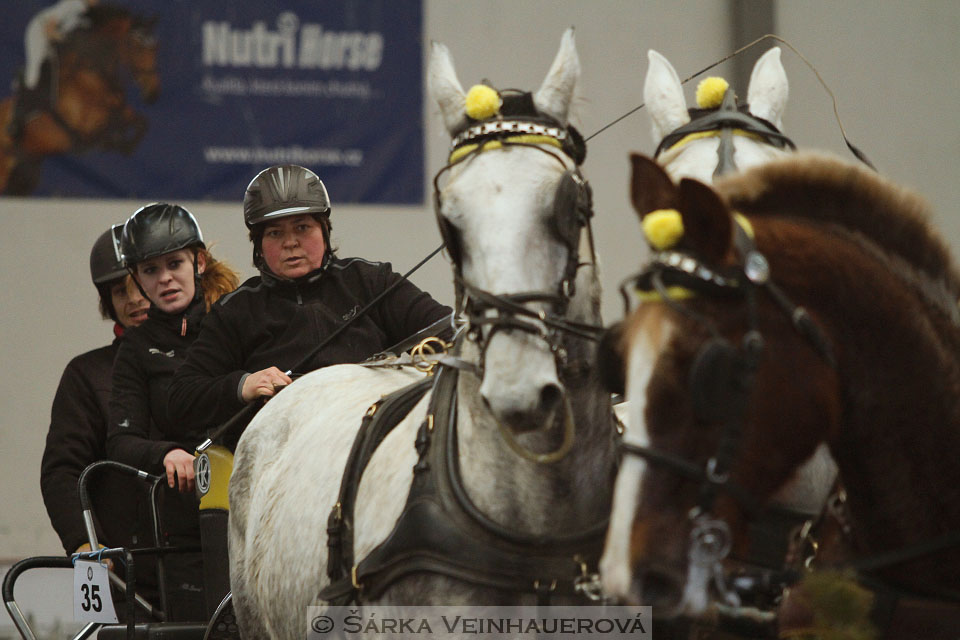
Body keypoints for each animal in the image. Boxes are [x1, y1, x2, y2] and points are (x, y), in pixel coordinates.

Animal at [0, 3, 159, 194]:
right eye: (137, 46)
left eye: (155, 49)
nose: (153, 94)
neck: (92, 79)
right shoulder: (84, 125)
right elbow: (105, 128)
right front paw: (114, 143)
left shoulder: (119, 111)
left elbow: (141, 123)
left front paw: (124, 145)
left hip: (24, 177)